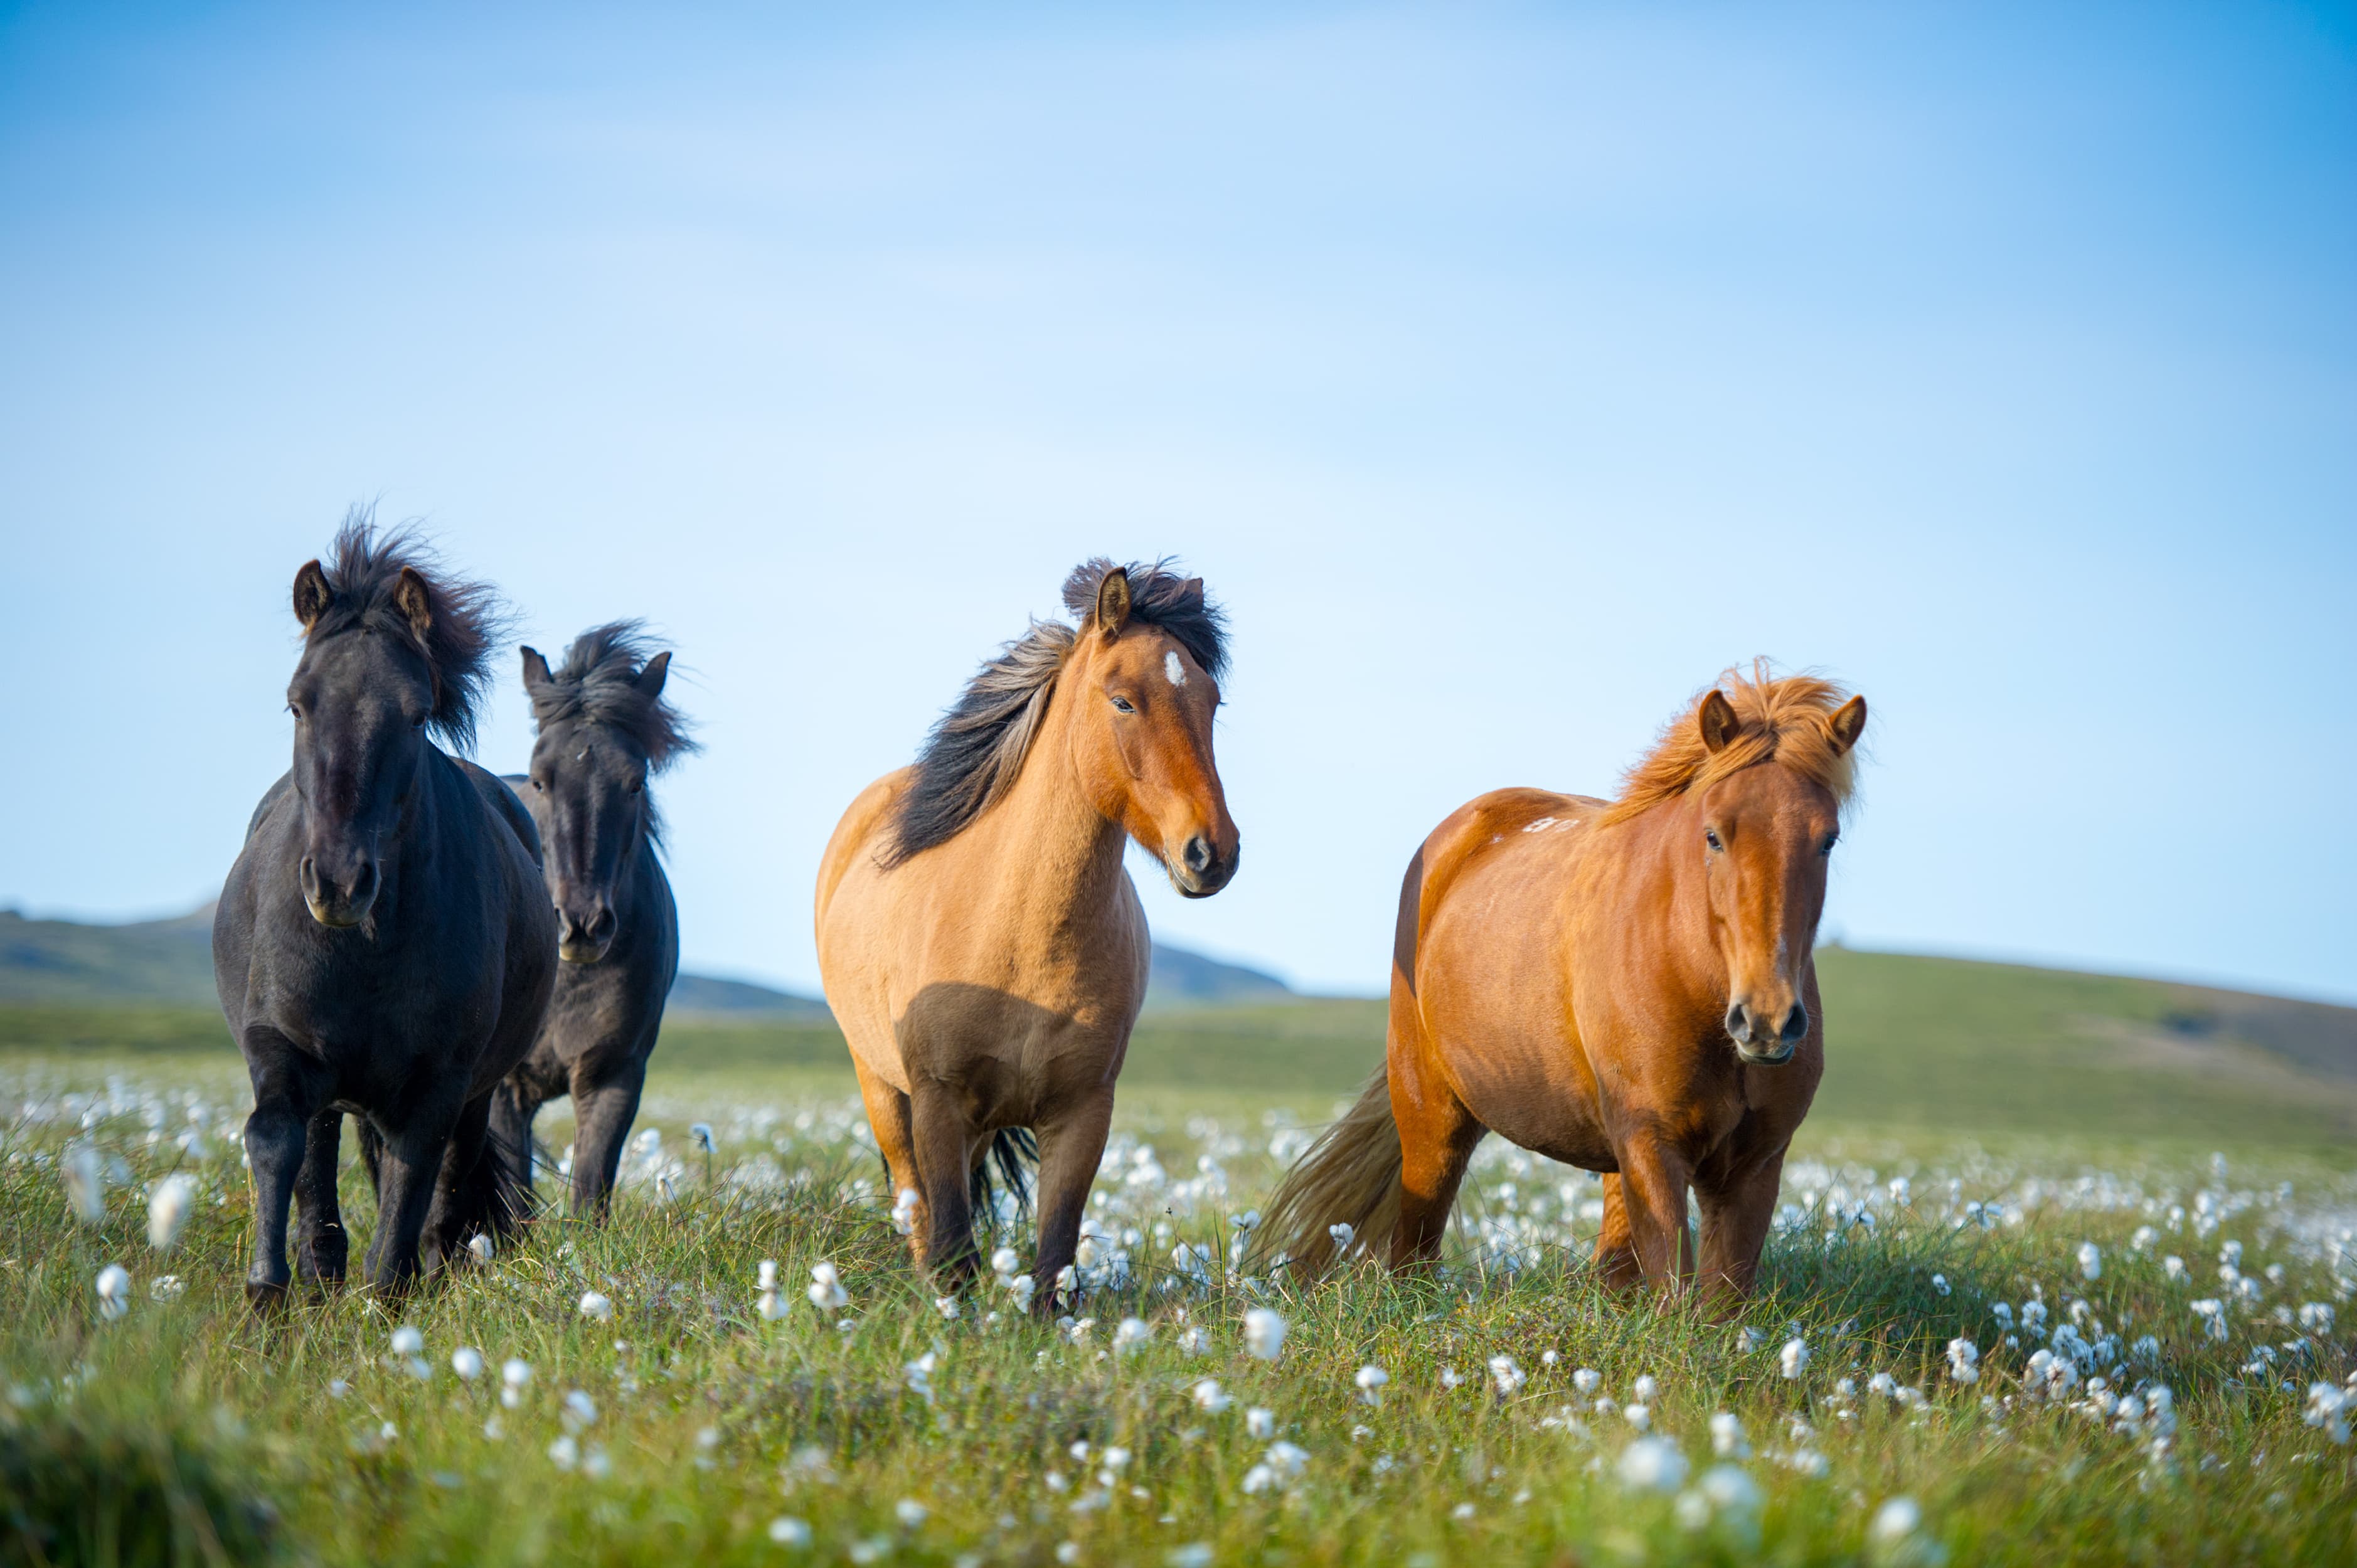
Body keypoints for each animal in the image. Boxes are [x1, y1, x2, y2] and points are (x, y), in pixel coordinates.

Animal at [212, 515, 556, 1307]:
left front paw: (387, 1298)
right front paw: (268, 1291)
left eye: (417, 712)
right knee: (316, 1157)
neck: (363, 950)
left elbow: (413, 1185)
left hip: (471, 1090)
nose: (339, 883)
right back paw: (317, 1271)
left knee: (451, 1176)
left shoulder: (438, 1083)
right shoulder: (281, 1045)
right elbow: (277, 1142)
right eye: (297, 702)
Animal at [485, 623, 696, 1228]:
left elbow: (588, 1189)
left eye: (635, 782)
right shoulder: (503, 1090)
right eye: (540, 780)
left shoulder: (613, 1076)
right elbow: (514, 1201)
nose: (581, 926)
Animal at [815, 560, 1239, 1302]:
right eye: (1123, 702)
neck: (1019, 935)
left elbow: (1054, 1261)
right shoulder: (937, 1100)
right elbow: (951, 1248)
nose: (1211, 852)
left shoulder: (1081, 1114)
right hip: (885, 1092)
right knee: (915, 1207)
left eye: (1212, 703)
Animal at [1251, 663, 1866, 1308]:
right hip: (1431, 1119)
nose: (1766, 1022)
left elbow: (1719, 1308)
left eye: (1827, 839)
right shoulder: (1652, 1147)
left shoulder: (1754, 1166)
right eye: (1714, 836)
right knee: (1412, 1252)